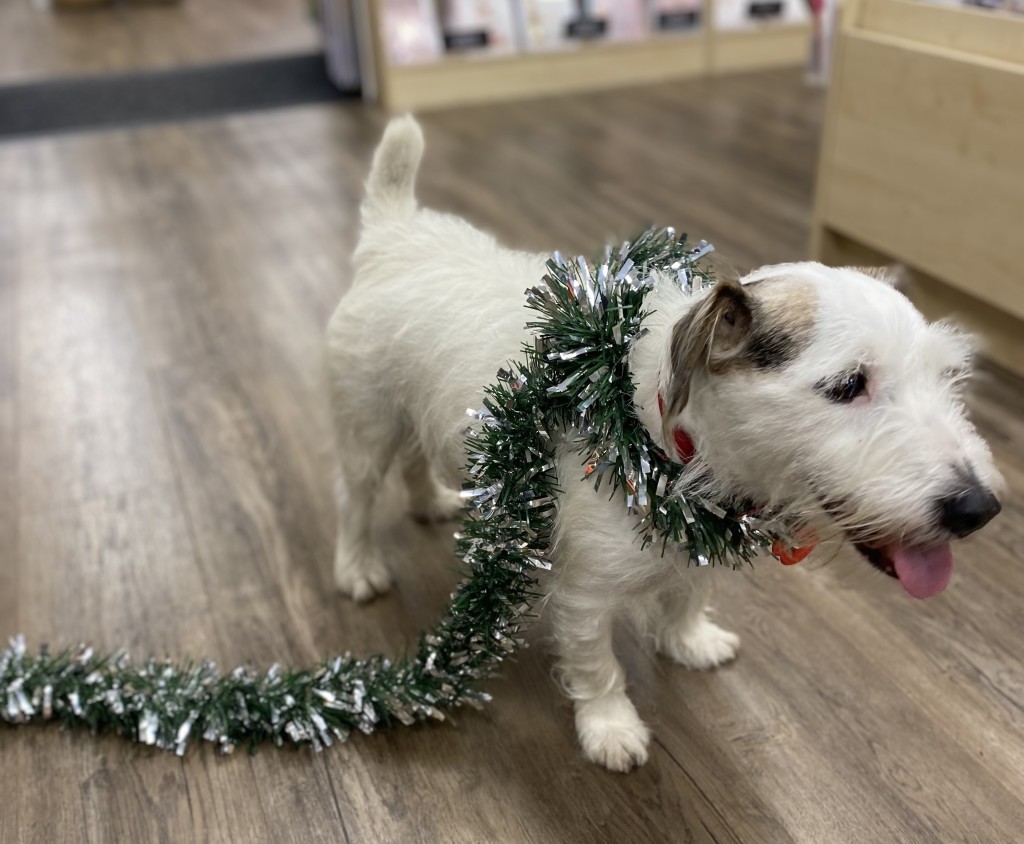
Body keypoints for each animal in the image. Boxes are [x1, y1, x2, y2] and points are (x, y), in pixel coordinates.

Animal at [325, 117, 999, 770]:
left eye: (946, 376)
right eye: (847, 385)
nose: (980, 509)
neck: (662, 447)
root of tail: (395, 235)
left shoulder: (699, 540)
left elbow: (689, 592)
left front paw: (689, 641)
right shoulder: (585, 594)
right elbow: (596, 664)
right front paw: (610, 729)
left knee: (414, 457)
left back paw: (430, 501)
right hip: (365, 430)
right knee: (356, 502)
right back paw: (358, 569)